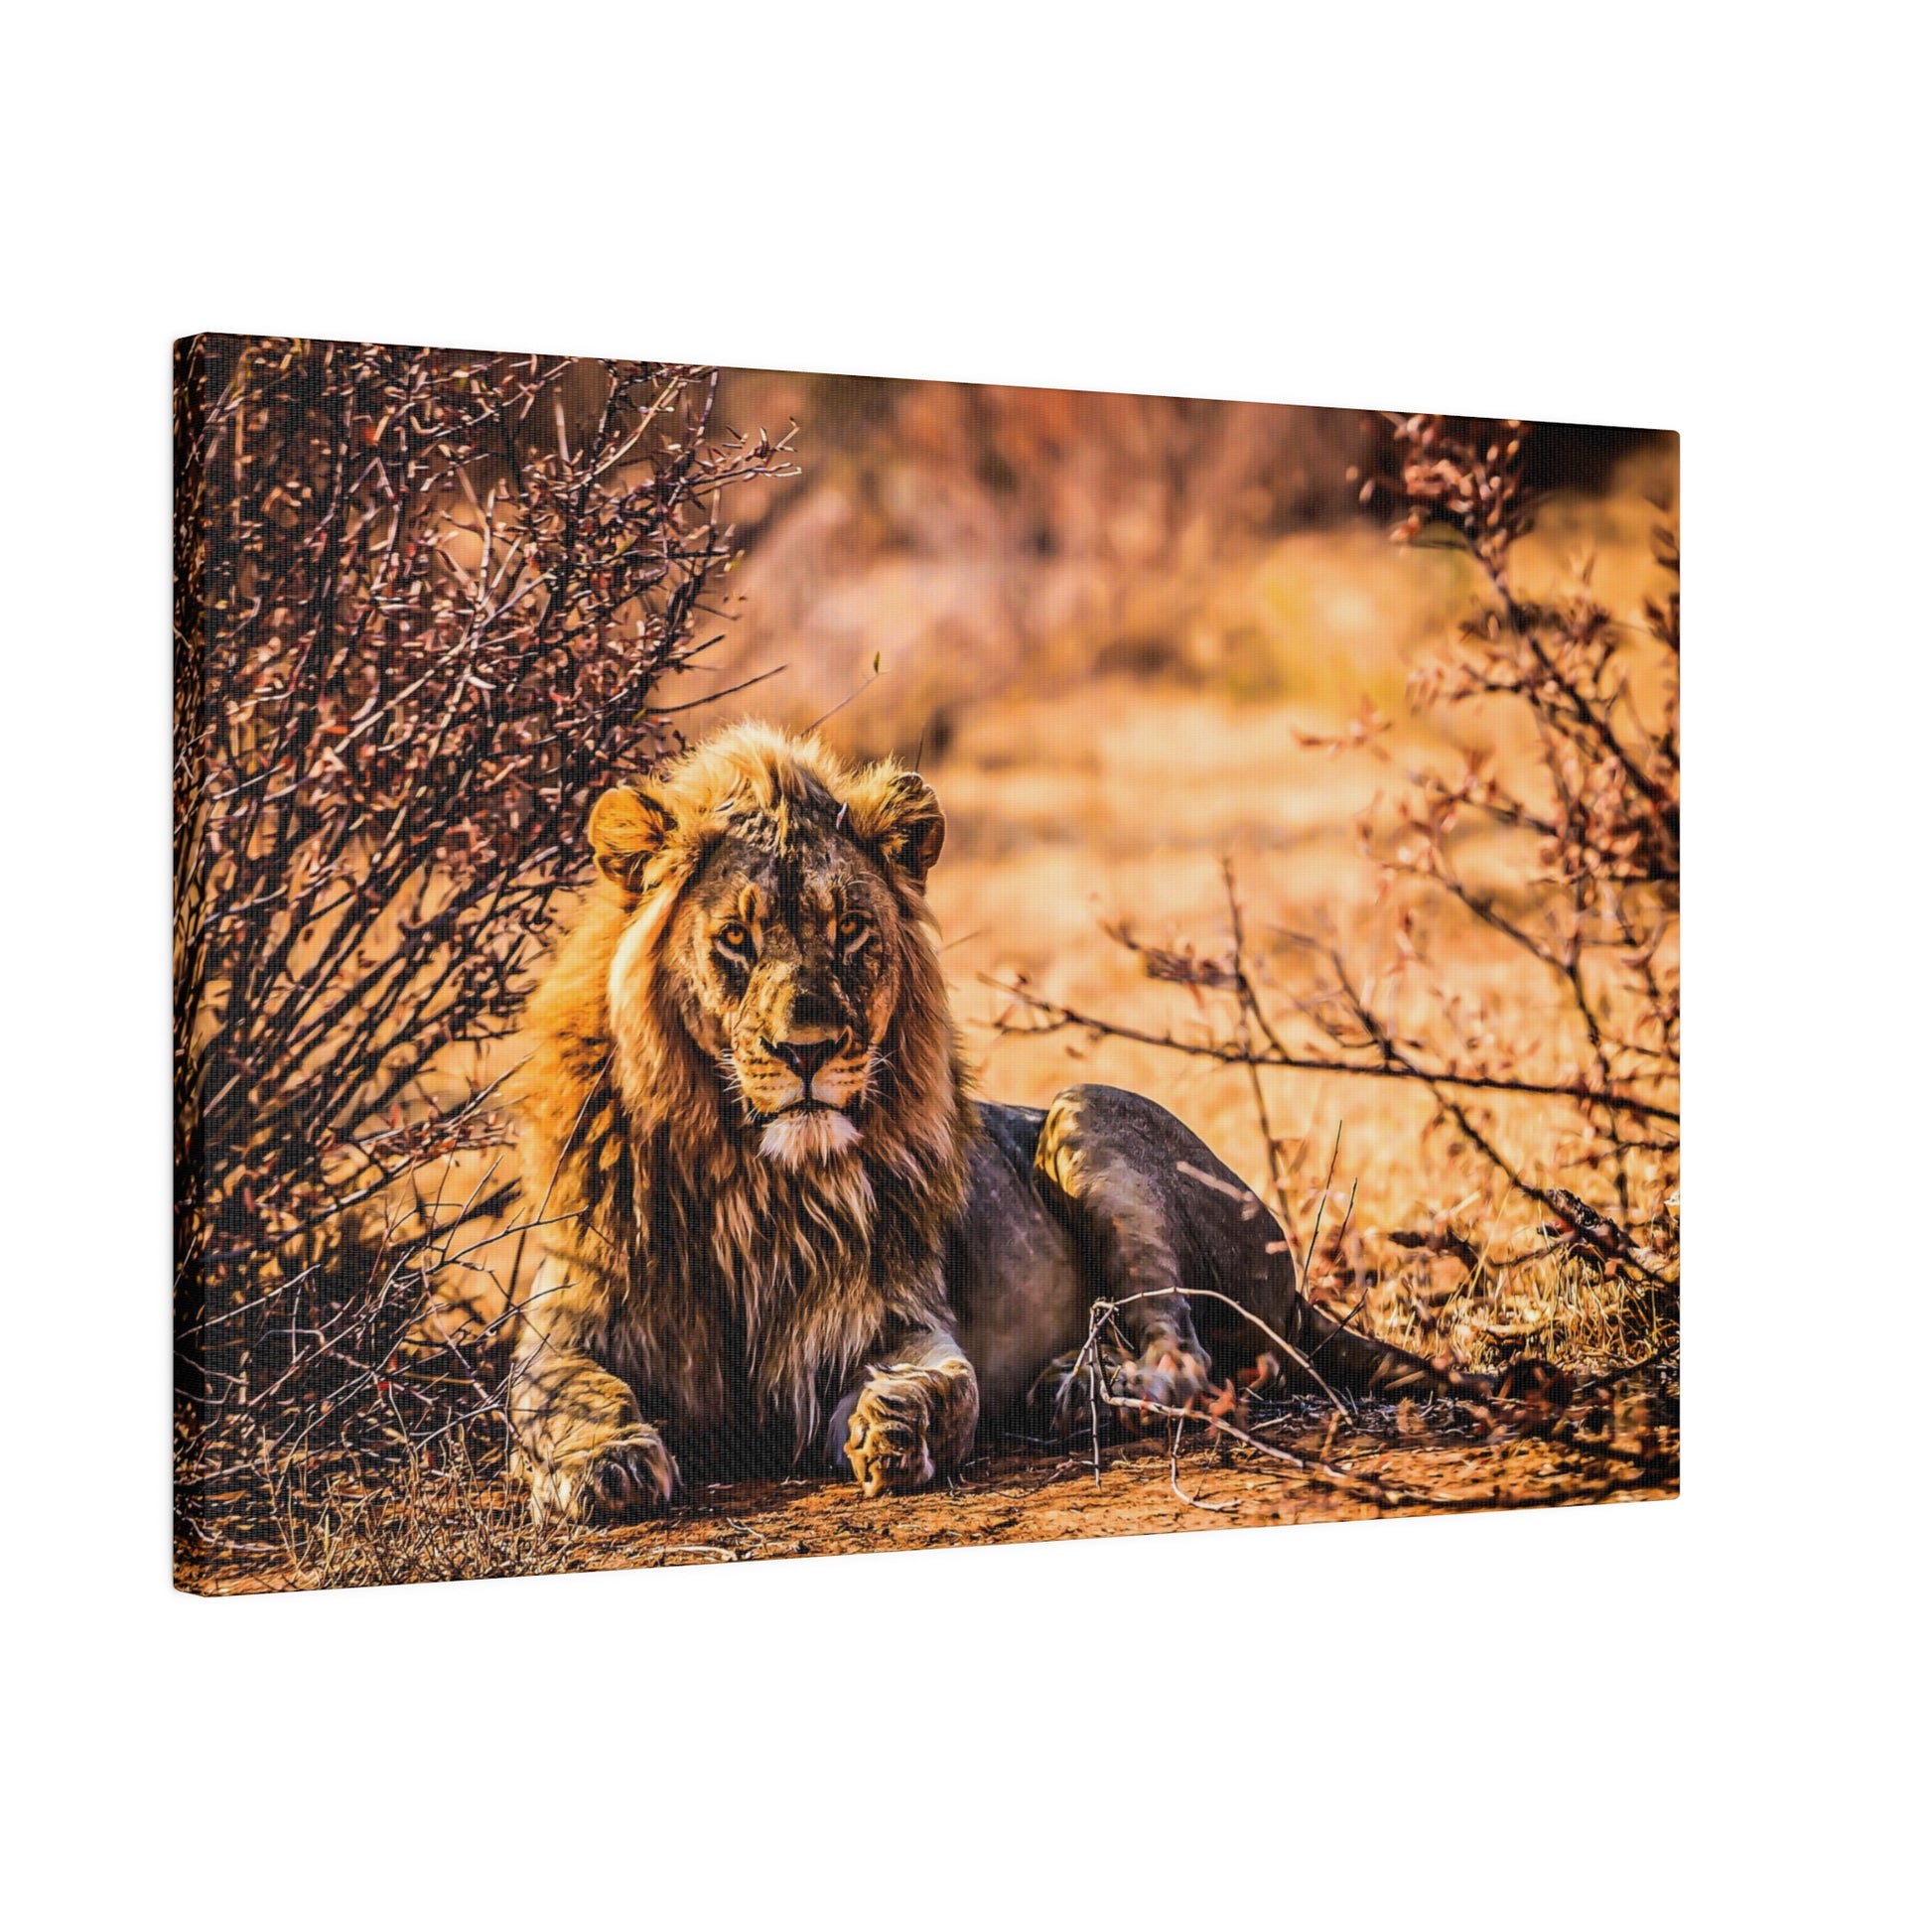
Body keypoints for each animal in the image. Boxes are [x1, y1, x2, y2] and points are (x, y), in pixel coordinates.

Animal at [505, 718, 1467, 1514]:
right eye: (735, 940)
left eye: (850, 931)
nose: (808, 1051)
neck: (754, 1177)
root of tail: (1298, 1291)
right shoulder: (564, 1326)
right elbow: (564, 1396)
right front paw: (604, 1464)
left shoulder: (894, 1319)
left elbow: (950, 1385)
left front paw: (897, 1427)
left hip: (1086, 1119)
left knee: (1187, 1357)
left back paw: (1078, 1392)